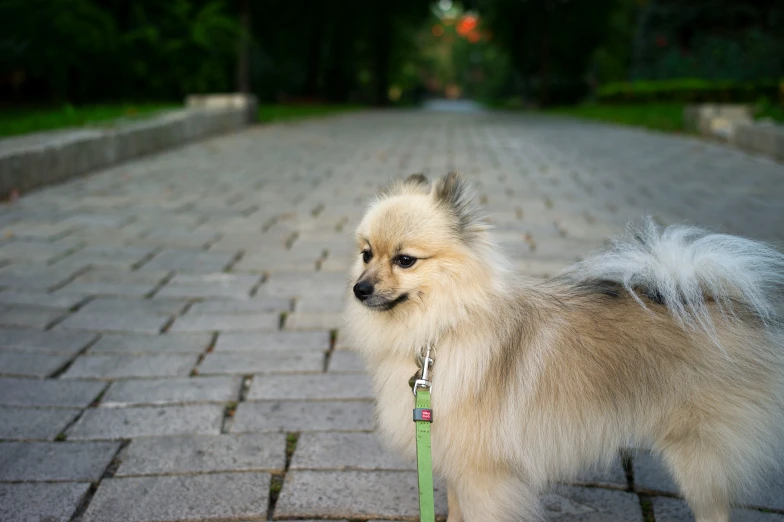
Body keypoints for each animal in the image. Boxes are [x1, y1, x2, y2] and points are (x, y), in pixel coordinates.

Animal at [344, 172, 784, 520]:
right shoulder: (454, 460)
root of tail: (715, 303)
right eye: (366, 254)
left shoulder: (484, 475)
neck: (444, 326)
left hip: (699, 459)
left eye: (405, 260)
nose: (359, 289)